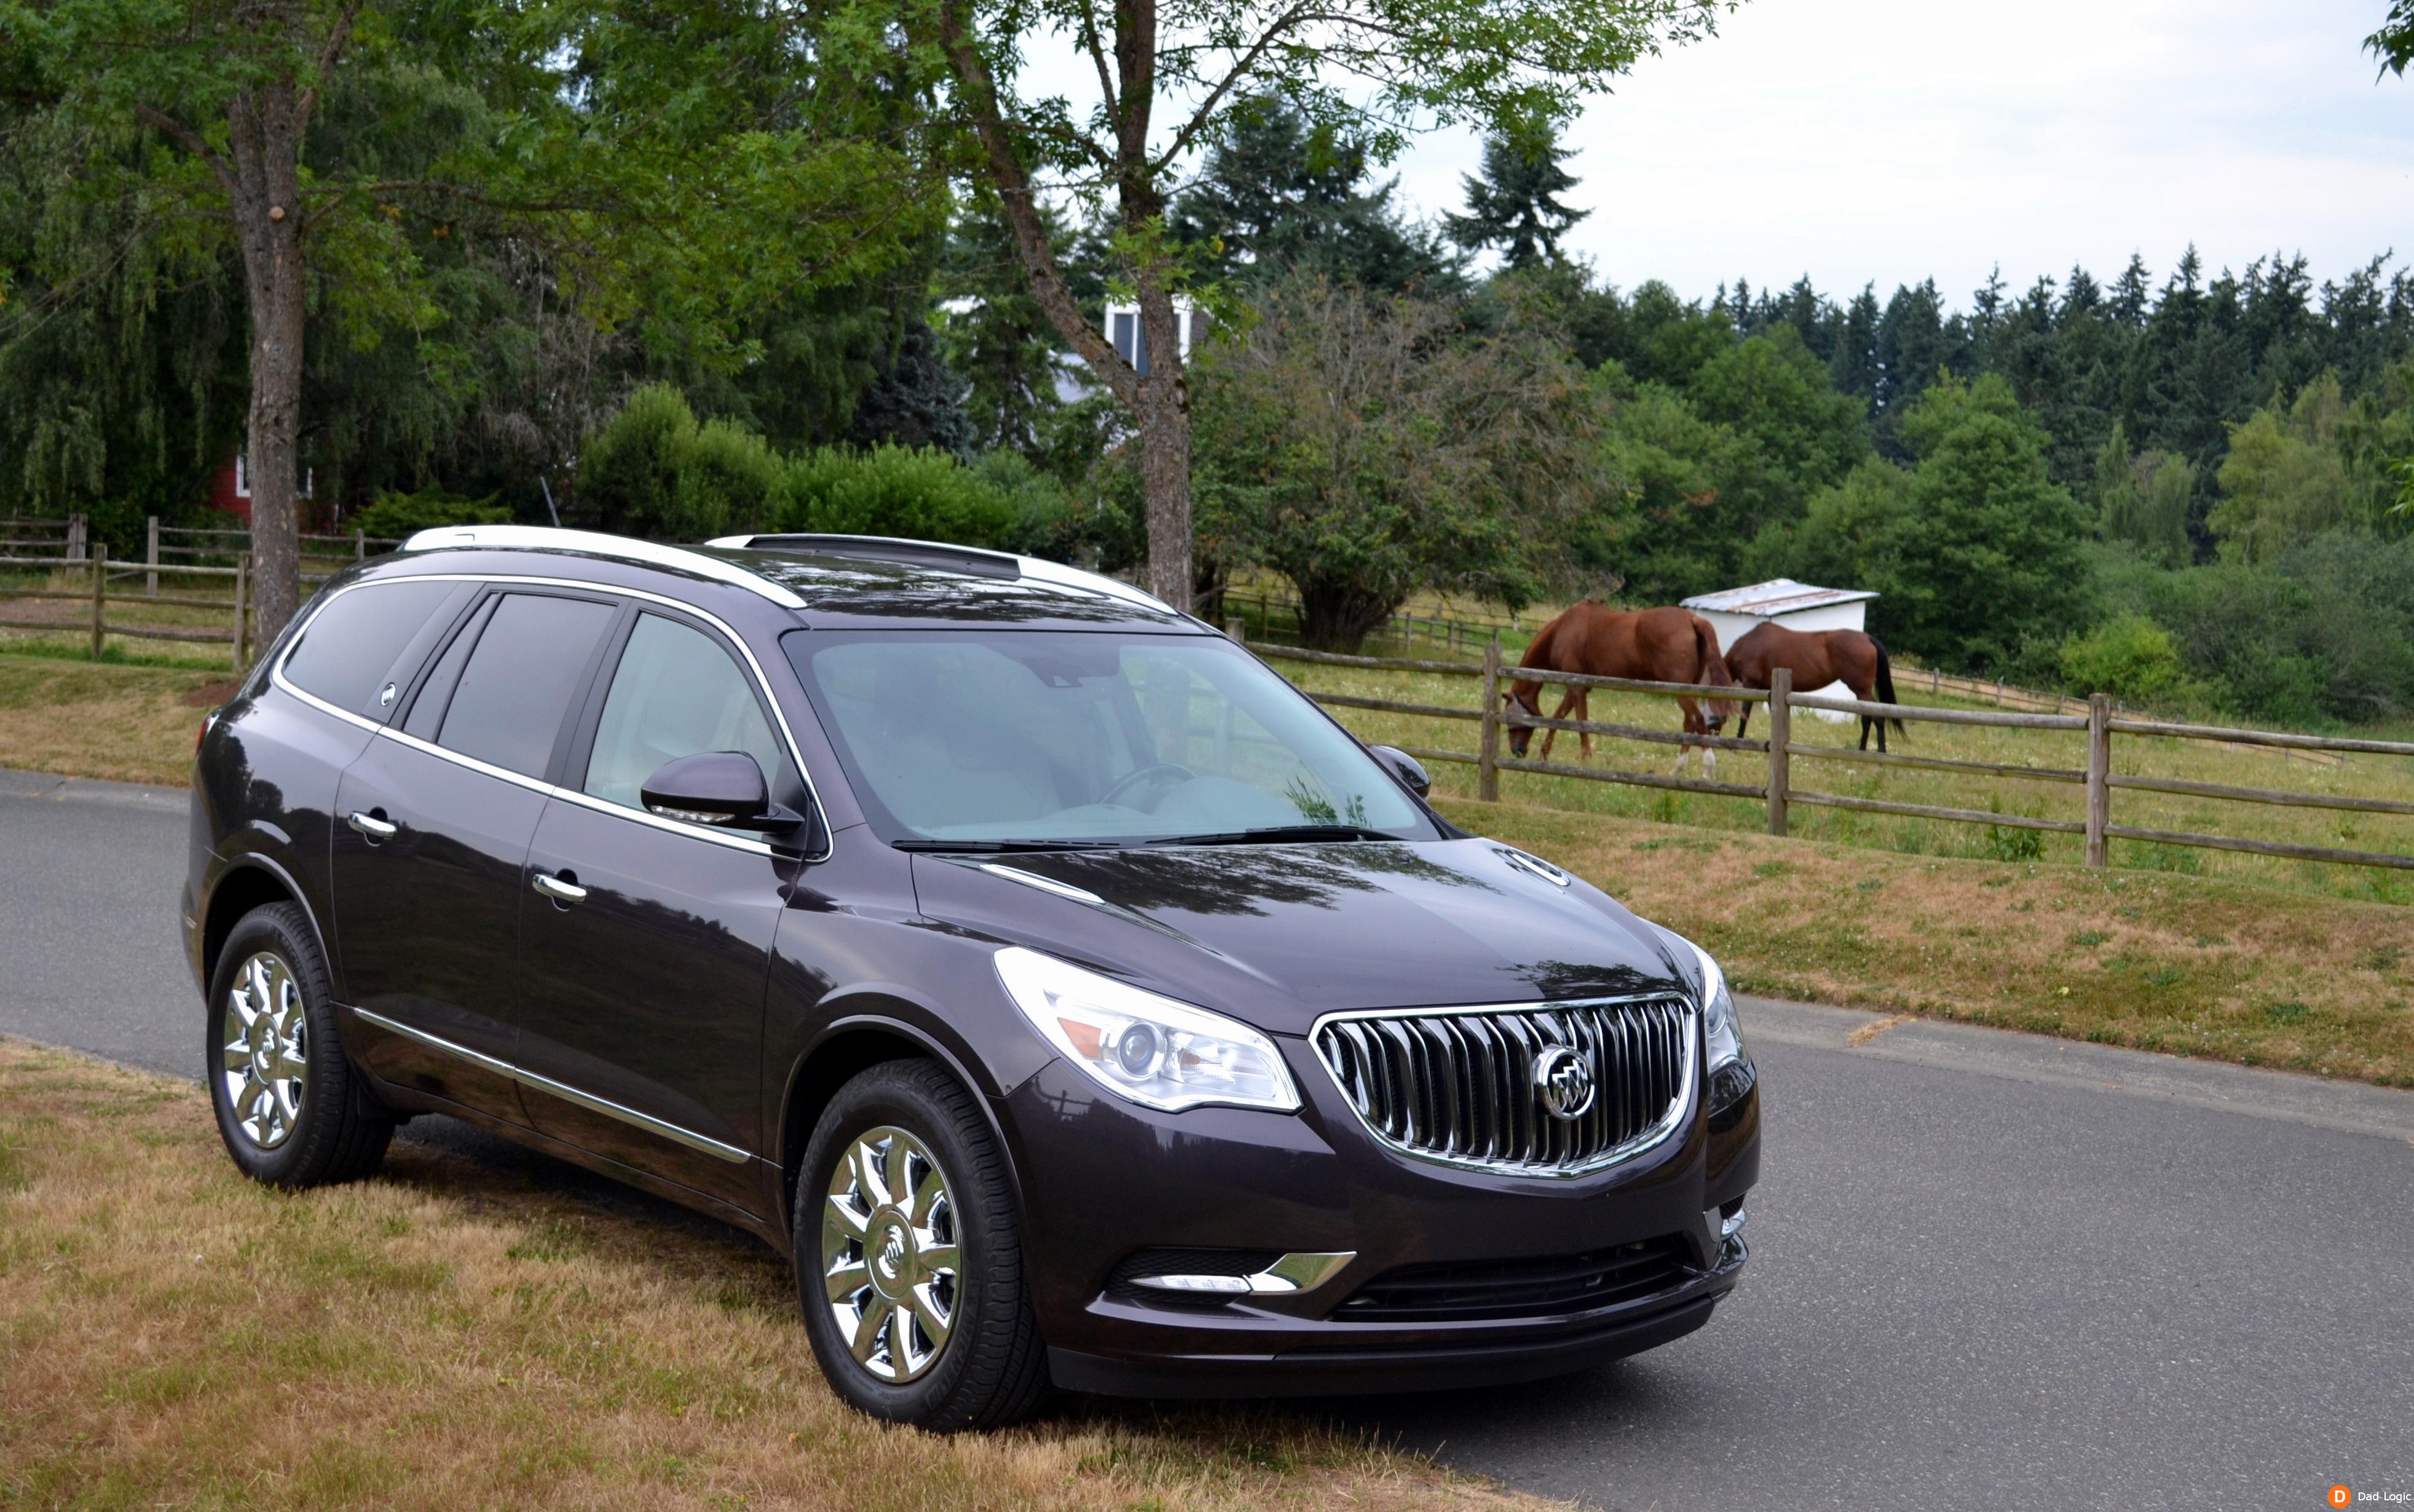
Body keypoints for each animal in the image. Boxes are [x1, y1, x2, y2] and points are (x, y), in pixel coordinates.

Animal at [1506, 601, 1738, 773]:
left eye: (1509, 718)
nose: (1517, 751)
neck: (1562, 630)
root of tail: (1693, 619)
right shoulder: (1578, 687)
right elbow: (1559, 717)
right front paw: (1544, 754)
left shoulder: (1576, 687)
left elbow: (1580, 721)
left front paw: (1586, 758)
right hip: (1689, 688)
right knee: (1689, 723)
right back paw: (1677, 770)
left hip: (1680, 689)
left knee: (1697, 720)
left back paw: (1707, 767)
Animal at [1728, 618, 1912, 749]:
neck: (1750, 644)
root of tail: (1867, 638)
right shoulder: (1769, 691)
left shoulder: (1751, 685)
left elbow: (1745, 714)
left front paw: (1739, 741)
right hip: (1862, 693)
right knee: (1867, 719)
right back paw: (1861, 750)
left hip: (1862, 690)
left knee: (1877, 717)